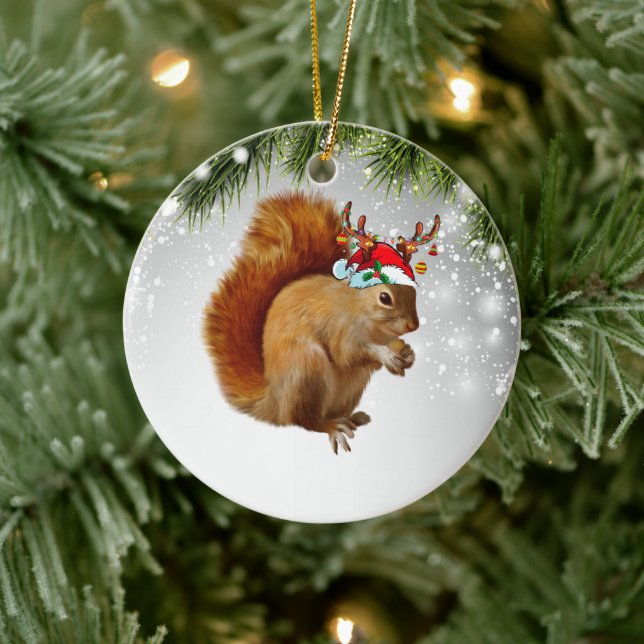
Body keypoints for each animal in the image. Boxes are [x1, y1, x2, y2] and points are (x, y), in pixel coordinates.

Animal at [203, 190, 440, 453]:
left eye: (414, 291)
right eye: (385, 298)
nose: (413, 326)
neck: (370, 322)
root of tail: (276, 401)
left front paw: (407, 354)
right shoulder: (340, 327)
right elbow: (347, 354)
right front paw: (385, 355)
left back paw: (354, 418)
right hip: (307, 369)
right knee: (307, 421)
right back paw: (332, 426)